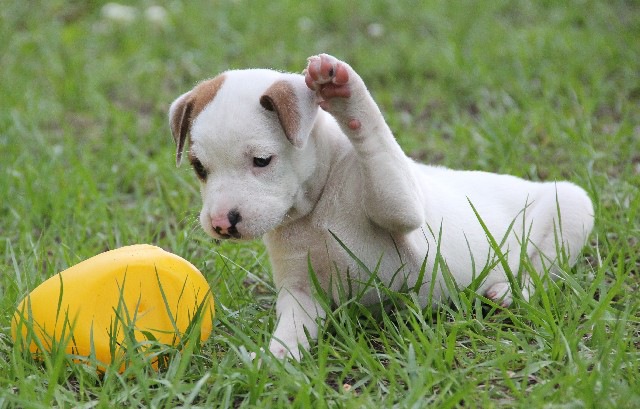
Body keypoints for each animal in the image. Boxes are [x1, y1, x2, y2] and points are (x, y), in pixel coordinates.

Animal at [169, 52, 596, 358]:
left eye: (262, 161)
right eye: (199, 168)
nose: (222, 223)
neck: (316, 205)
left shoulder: (403, 211)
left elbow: (376, 145)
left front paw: (344, 92)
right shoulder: (302, 293)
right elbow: (293, 326)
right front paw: (276, 358)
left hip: (572, 207)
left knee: (540, 273)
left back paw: (507, 290)